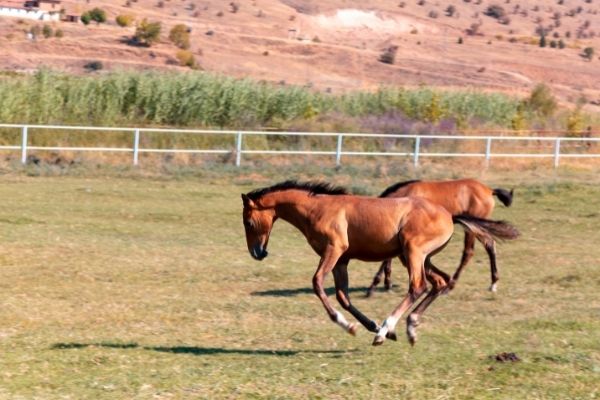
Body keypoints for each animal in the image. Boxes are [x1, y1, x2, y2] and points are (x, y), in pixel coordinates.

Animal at [366, 178, 516, 296]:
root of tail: (489, 190)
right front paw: (385, 283)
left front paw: (374, 286)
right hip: (477, 227)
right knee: (490, 246)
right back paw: (493, 283)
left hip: (471, 229)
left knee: (468, 252)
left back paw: (451, 286)